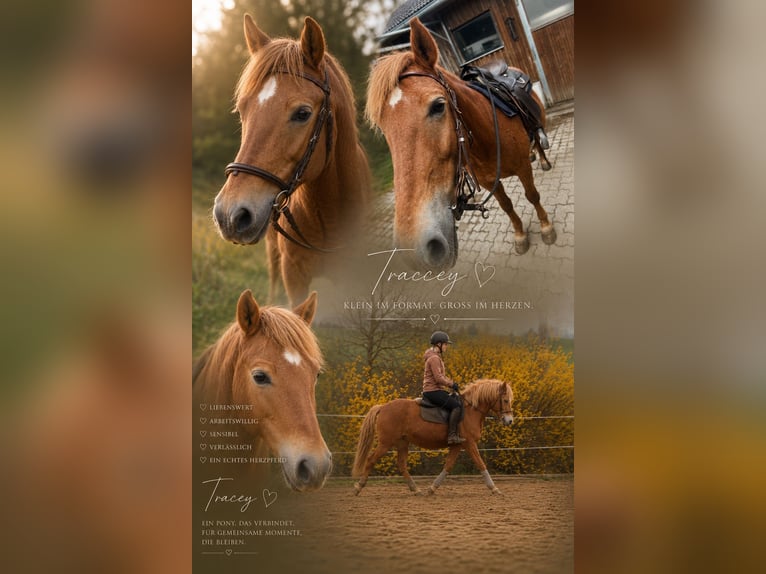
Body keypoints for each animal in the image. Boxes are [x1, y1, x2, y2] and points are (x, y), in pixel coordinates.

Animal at [352, 379, 514, 495]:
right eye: (506, 400)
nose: (509, 421)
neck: (470, 410)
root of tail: (383, 407)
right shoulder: (470, 444)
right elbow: (481, 464)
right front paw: (494, 489)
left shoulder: (457, 445)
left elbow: (448, 466)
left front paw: (432, 488)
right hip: (386, 443)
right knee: (371, 460)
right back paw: (358, 487)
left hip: (402, 443)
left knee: (402, 465)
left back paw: (416, 489)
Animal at [366, 18, 556, 269]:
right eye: (382, 127)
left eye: (438, 105)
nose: (415, 250)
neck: (487, 137)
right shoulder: (489, 181)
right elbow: (506, 205)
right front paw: (520, 235)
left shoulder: (523, 169)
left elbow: (532, 196)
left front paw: (546, 227)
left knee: (536, 135)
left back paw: (542, 159)